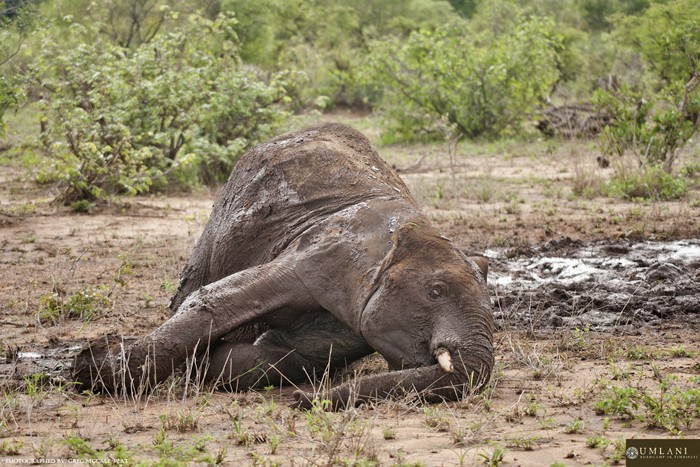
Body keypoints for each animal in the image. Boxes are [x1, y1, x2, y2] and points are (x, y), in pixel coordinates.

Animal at [74, 123, 494, 410]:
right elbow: (214, 302)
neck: (403, 237)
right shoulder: (322, 255)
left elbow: (294, 357)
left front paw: (209, 361)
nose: (301, 403)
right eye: (435, 292)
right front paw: (88, 370)